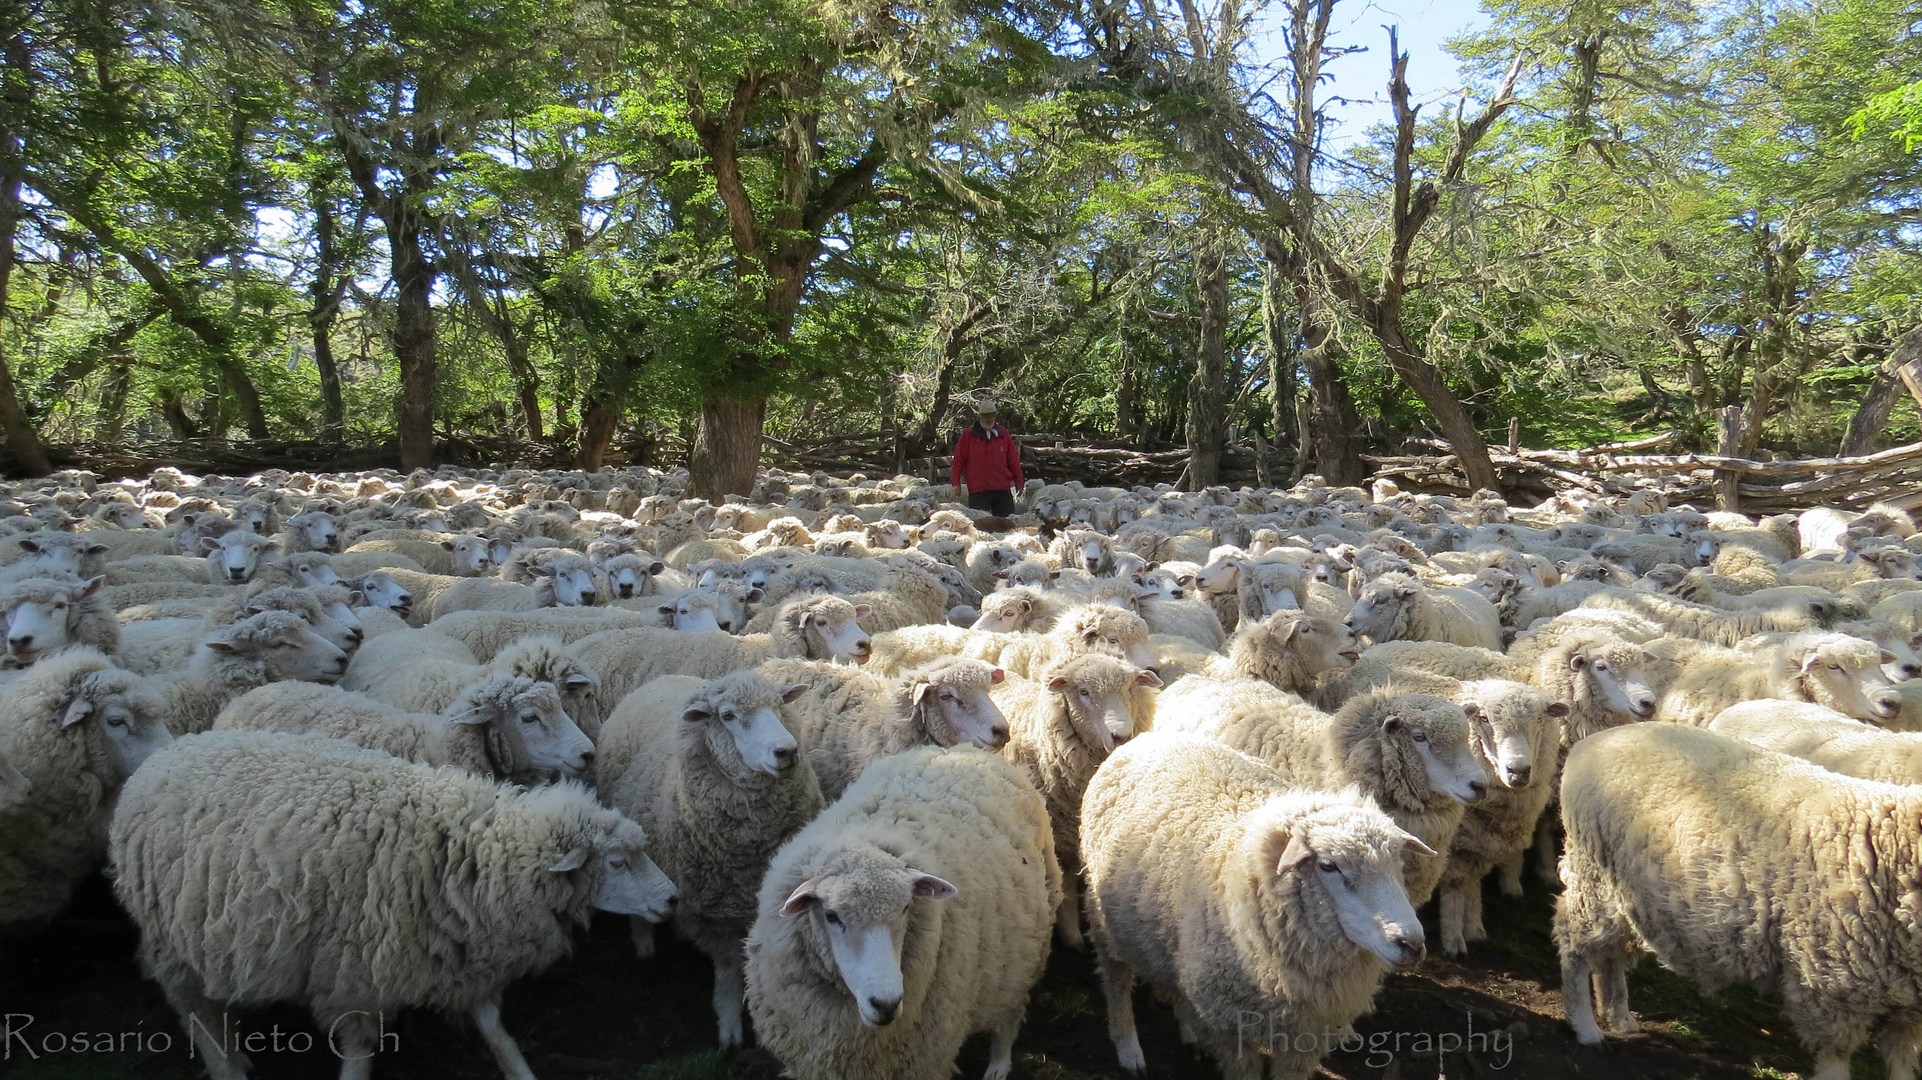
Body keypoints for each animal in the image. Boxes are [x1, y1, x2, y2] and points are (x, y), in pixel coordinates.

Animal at [112, 726, 680, 1076]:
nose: (673, 899)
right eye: (616, 862)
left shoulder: (459, 950)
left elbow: (496, 1030)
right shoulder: (355, 971)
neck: (470, 851)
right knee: (194, 1011)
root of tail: (165, 755)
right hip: (169, 937)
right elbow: (361, 1051)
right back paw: (225, 1065)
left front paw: (520, 1071)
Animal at [591, 668, 818, 1045]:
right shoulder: (714, 913)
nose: (787, 751)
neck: (751, 851)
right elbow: (727, 969)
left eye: (778, 705)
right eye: (727, 716)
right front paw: (729, 1025)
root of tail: (663, 677)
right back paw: (644, 943)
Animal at [741, 737, 1060, 1076]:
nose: (886, 1004)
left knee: (1010, 1013)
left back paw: (999, 1064)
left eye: (907, 908)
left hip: (1027, 950)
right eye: (830, 915)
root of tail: (961, 748)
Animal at [1084, 730, 1429, 1076]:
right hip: (1106, 918)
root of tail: (1150, 735)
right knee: (1115, 977)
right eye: (1329, 866)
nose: (1412, 944)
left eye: (1398, 861)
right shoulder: (1230, 1025)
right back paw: (1129, 1048)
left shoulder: (1306, 1035)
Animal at [1552, 714, 1922, 1076]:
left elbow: (1902, 1064)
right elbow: (1835, 1059)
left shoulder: (1905, 1007)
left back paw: (1618, 1014)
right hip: (1593, 874)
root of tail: (1594, 741)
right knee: (1574, 945)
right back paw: (1586, 1027)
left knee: (1611, 953)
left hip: (1626, 897)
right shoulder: (1830, 984)